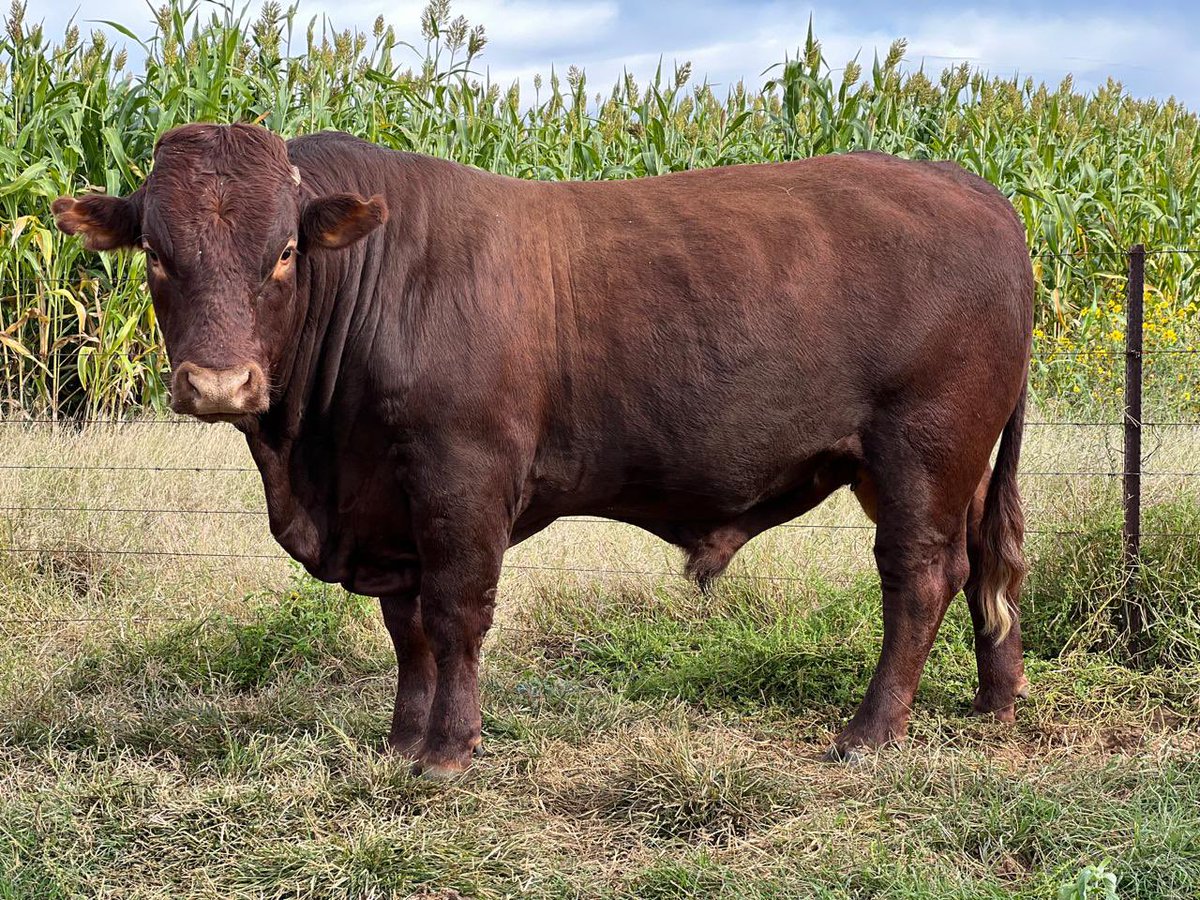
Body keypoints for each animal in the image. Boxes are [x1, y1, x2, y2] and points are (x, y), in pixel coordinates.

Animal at [53, 123, 1032, 777]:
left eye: (285, 251)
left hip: (921, 447)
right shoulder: (389, 504)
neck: (316, 461)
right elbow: (407, 628)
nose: (219, 385)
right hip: (940, 463)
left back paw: (869, 733)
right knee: (985, 562)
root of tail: (968, 184)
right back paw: (994, 698)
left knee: (920, 577)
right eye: (156, 254)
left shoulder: (462, 476)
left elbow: (455, 614)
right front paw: (401, 741)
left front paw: (447, 753)